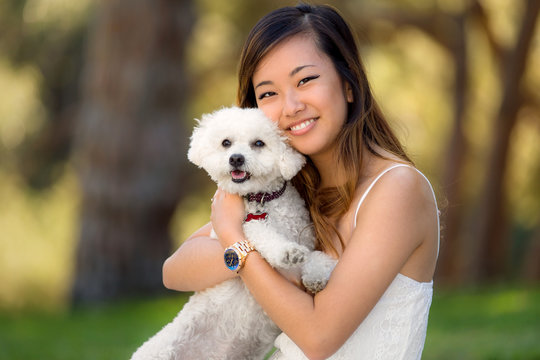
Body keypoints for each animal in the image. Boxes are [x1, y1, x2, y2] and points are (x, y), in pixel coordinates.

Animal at [131, 107, 336, 360]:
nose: (236, 158)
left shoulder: (306, 239)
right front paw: (287, 252)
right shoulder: (242, 228)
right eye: (226, 143)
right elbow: (261, 233)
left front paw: (316, 274)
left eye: (258, 143)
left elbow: (316, 256)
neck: (260, 199)